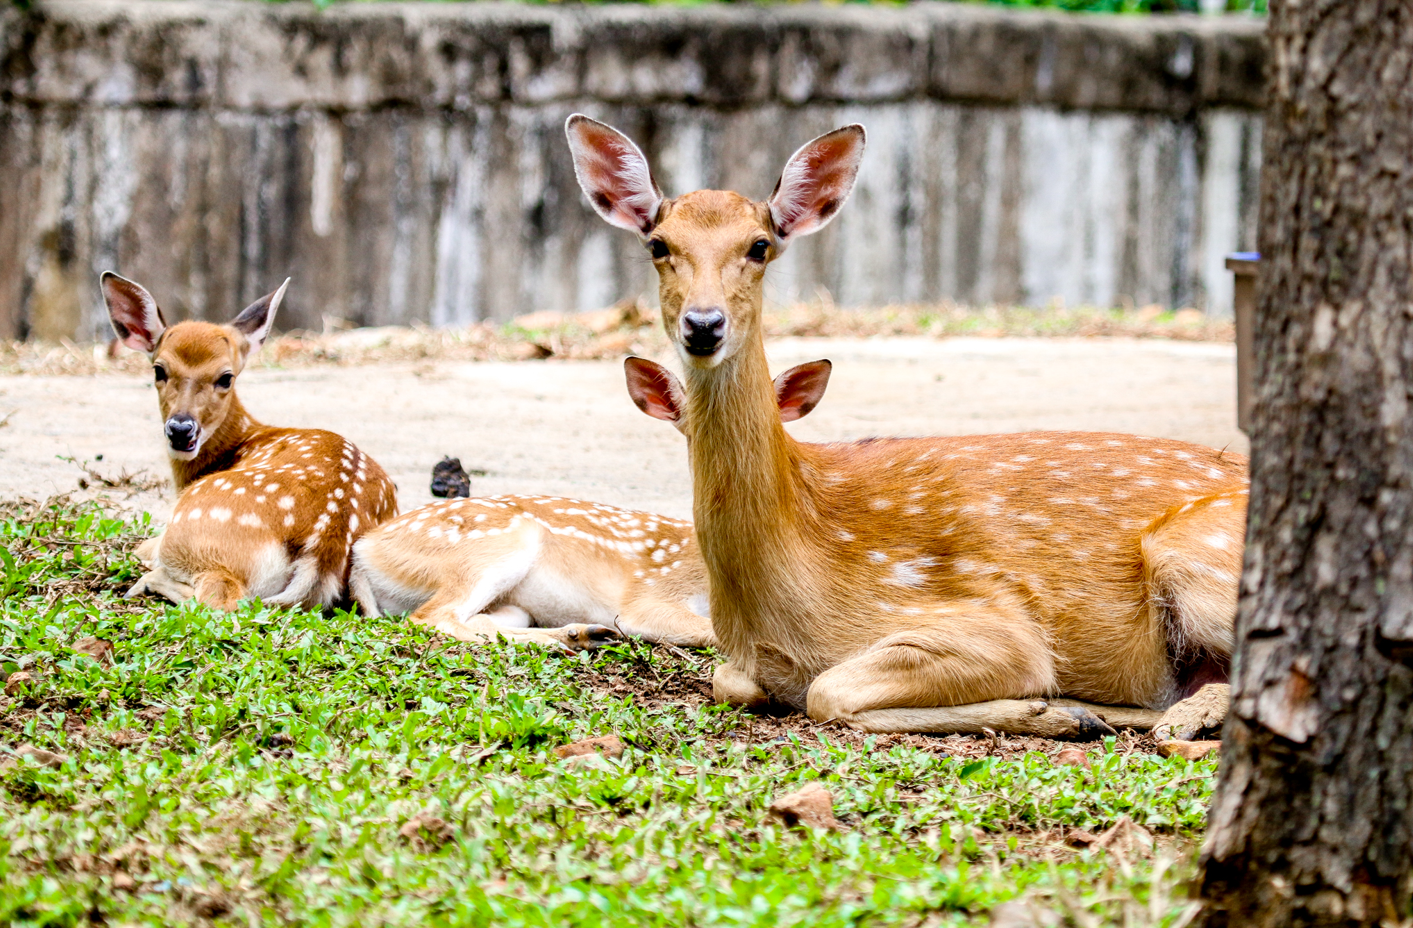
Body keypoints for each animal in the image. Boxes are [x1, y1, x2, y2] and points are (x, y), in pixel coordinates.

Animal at [102, 271, 398, 613]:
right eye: (159, 370)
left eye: (225, 377)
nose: (181, 429)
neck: (243, 438)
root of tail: (324, 546)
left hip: (195, 530)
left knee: (222, 597)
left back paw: (144, 583)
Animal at [350, 358, 825, 646]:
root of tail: (363, 550)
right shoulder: (650, 598)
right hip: (492, 545)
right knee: (433, 618)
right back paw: (577, 637)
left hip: (511, 601)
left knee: (474, 620)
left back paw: (581, 634)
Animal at [565, 115, 1249, 734]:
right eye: (659, 245)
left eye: (759, 246)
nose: (704, 325)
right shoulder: (743, 662)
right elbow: (732, 681)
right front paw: (1063, 710)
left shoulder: (992, 621)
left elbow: (830, 692)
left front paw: (1048, 707)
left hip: (1194, 551)